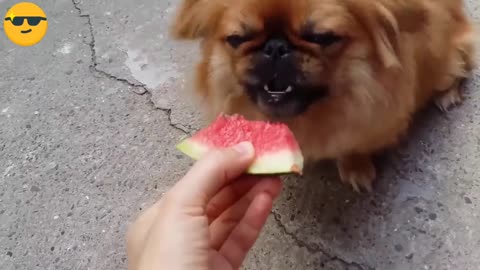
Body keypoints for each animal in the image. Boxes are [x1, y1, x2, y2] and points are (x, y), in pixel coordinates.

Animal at [171, 0, 474, 192]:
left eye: (320, 38)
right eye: (238, 39)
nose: (275, 47)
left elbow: (354, 145)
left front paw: (355, 167)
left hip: (448, 62)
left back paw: (448, 95)